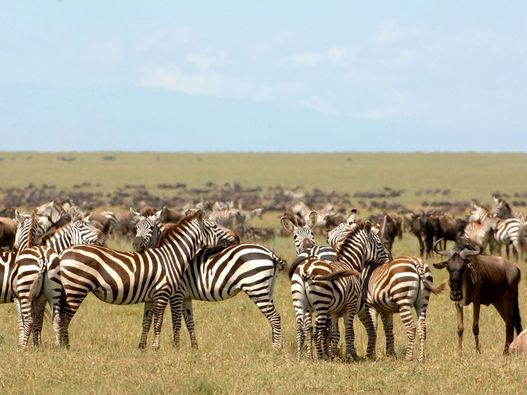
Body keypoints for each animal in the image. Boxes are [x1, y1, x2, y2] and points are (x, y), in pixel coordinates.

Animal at [15, 220, 103, 350]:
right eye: (82, 227)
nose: (101, 235)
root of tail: (43, 258)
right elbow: (34, 319)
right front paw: (35, 343)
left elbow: (31, 319)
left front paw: (31, 343)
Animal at [55, 210, 237, 350]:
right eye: (214, 226)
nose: (235, 238)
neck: (171, 257)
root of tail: (65, 252)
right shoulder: (163, 293)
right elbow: (159, 322)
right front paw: (156, 347)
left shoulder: (150, 298)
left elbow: (147, 322)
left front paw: (142, 347)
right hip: (76, 288)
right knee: (64, 317)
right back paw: (66, 347)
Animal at [133, 210, 288, 350]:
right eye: (136, 228)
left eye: (151, 228)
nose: (137, 246)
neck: (170, 256)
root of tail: (270, 252)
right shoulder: (185, 296)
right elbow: (189, 321)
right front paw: (194, 347)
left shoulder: (176, 294)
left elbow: (176, 321)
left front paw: (175, 347)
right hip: (267, 289)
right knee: (274, 316)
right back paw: (277, 344)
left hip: (256, 288)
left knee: (274, 317)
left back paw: (276, 348)